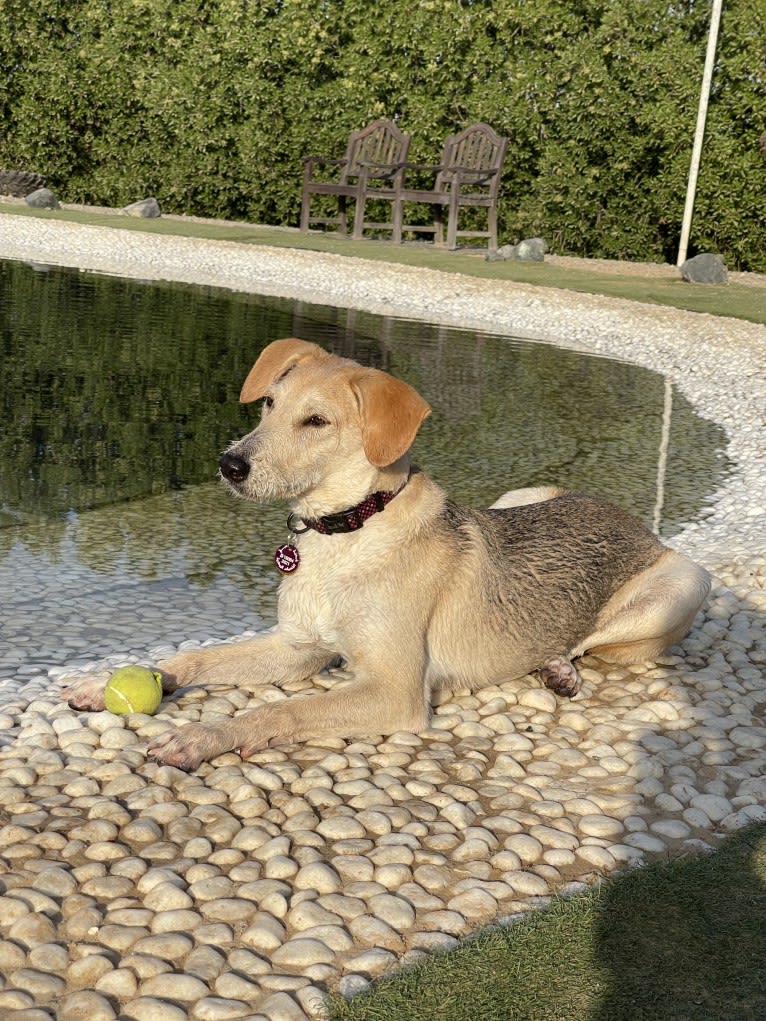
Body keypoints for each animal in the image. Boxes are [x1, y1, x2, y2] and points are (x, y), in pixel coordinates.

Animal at [64, 338, 714, 767]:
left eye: (316, 421)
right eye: (269, 404)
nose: (229, 465)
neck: (346, 531)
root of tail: (634, 518)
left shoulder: (394, 690)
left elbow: (282, 712)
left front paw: (204, 737)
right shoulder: (296, 650)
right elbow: (199, 659)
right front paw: (117, 681)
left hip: (680, 587)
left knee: (591, 641)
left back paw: (559, 665)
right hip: (524, 493)